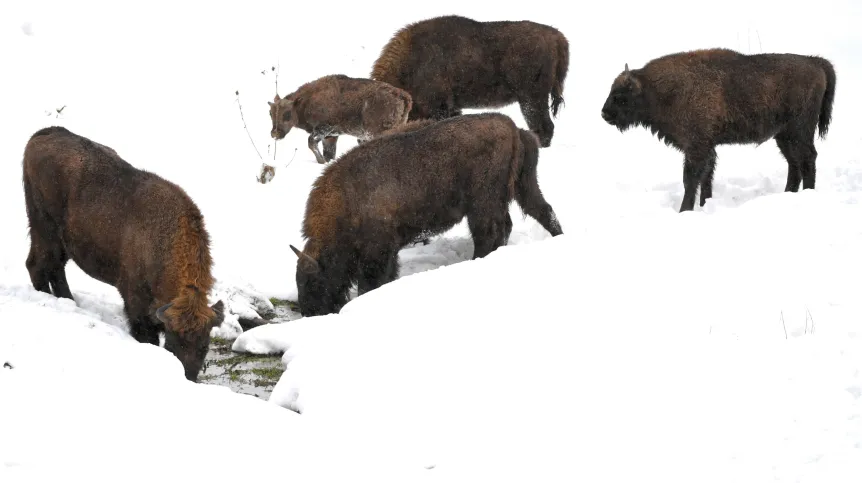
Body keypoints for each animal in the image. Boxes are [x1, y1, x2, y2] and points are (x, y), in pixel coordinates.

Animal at [23, 126, 226, 384]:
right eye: (173, 344)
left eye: (204, 346)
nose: (188, 376)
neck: (162, 240)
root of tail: (44, 134)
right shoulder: (136, 304)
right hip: (44, 231)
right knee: (36, 265)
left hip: (62, 244)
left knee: (55, 270)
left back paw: (69, 301)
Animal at [272, 73, 416, 164]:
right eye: (270, 113)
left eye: (287, 114)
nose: (274, 133)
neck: (306, 101)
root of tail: (404, 97)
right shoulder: (330, 136)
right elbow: (329, 153)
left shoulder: (324, 128)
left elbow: (311, 142)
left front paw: (321, 161)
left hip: (375, 132)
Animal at [286, 112, 564, 318]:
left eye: (314, 281)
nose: (310, 313)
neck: (346, 203)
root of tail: (515, 129)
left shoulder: (378, 251)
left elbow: (371, 281)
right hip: (522, 187)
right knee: (540, 212)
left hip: (483, 204)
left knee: (489, 234)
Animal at [600, 48, 836, 213]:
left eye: (620, 96)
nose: (604, 114)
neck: (656, 89)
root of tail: (816, 62)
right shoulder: (707, 147)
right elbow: (706, 177)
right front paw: (704, 204)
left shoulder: (696, 147)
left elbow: (691, 179)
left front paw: (684, 210)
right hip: (784, 136)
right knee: (794, 162)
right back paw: (788, 193)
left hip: (799, 132)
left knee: (808, 158)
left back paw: (807, 192)